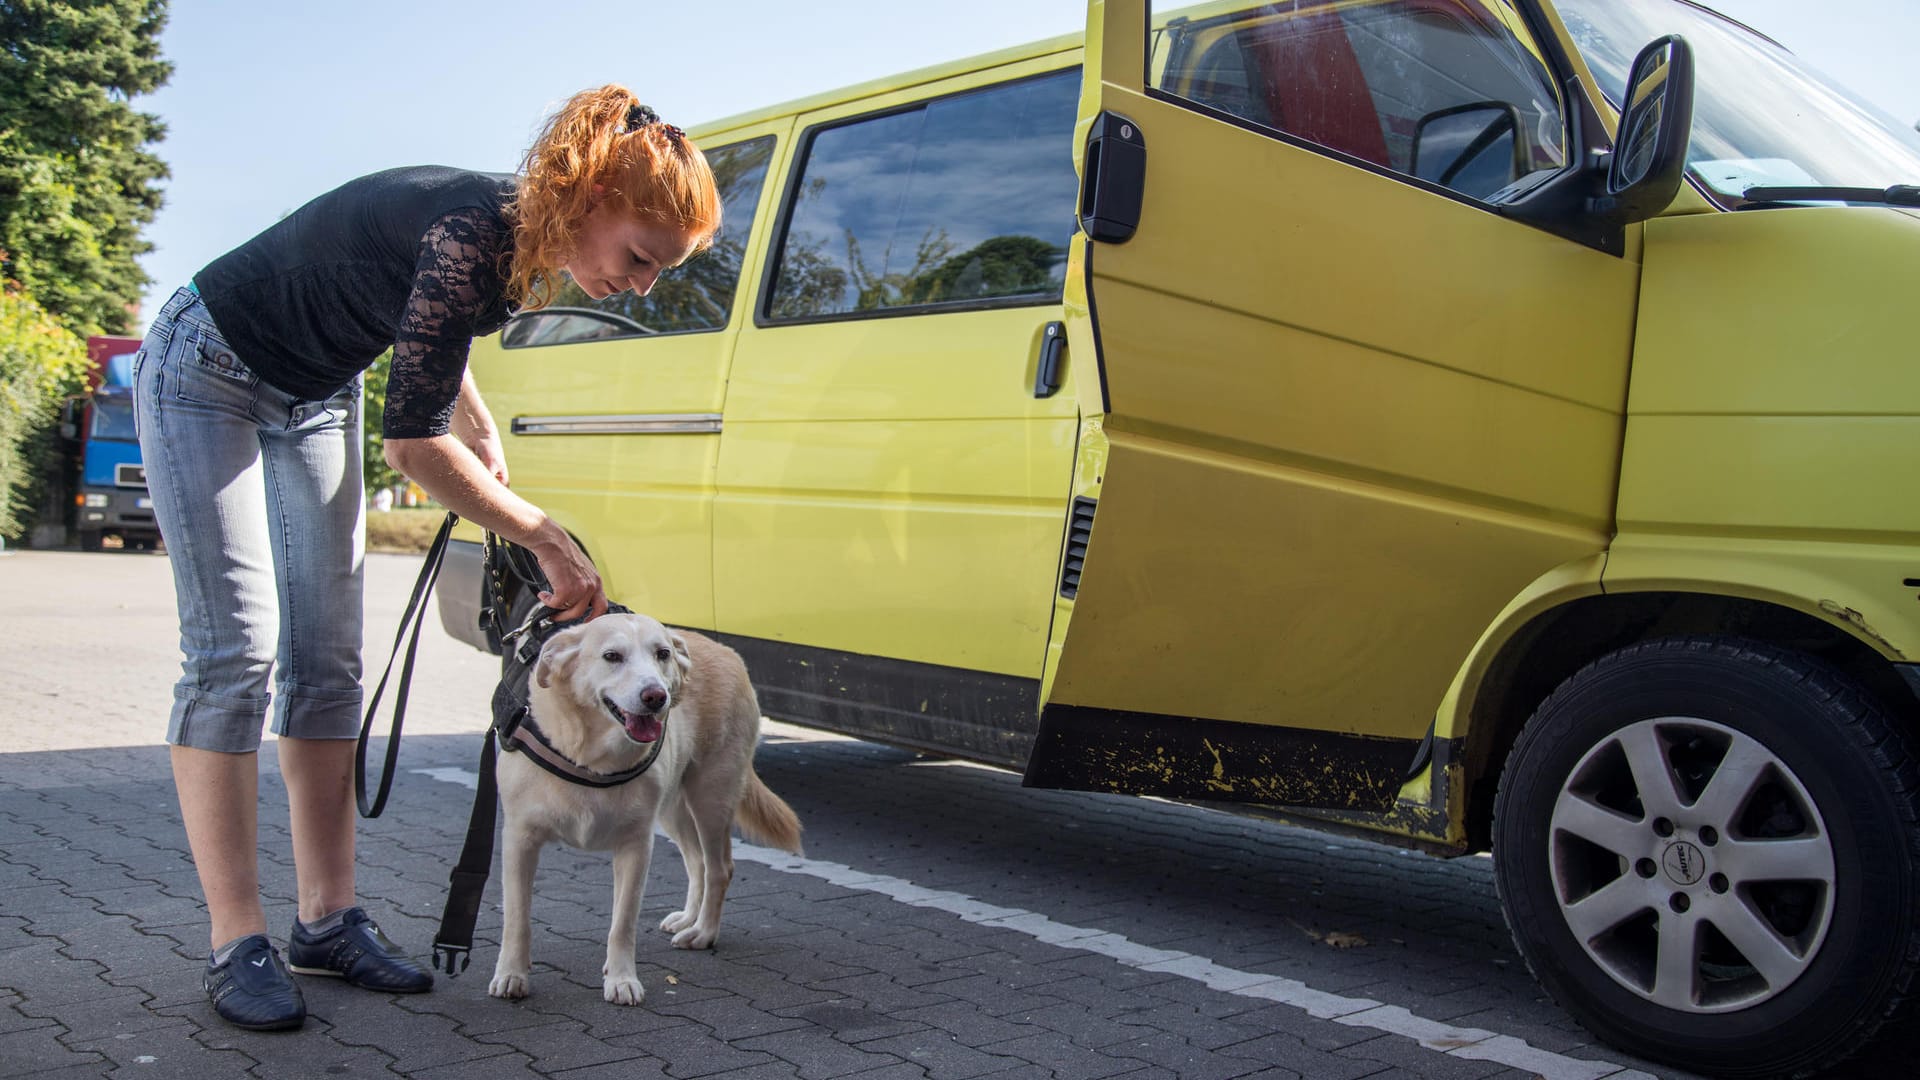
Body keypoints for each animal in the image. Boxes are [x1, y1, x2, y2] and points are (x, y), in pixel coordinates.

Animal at [487, 607, 810, 999]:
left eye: (662, 654)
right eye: (612, 656)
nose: (656, 696)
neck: (591, 757)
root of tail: (726, 651)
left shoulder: (636, 845)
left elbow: (622, 924)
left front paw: (622, 979)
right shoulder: (519, 841)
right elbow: (517, 918)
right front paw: (512, 974)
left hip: (711, 797)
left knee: (719, 868)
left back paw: (703, 932)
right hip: (674, 808)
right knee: (698, 863)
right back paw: (689, 918)